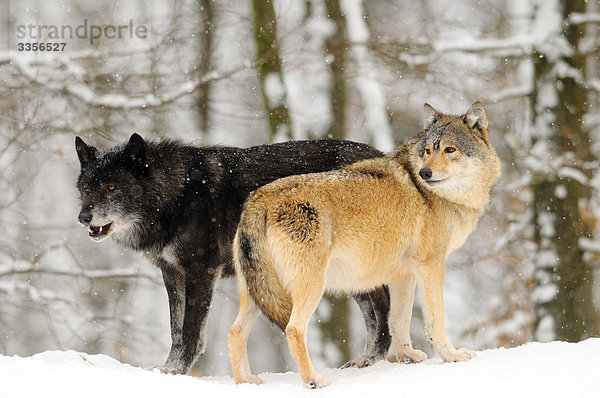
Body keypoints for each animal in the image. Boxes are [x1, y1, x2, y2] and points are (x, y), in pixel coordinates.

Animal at [75, 135, 392, 374]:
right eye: (87, 188)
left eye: (112, 187)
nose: (82, 217)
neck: (177, 195)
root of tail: (383, 156)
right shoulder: (171, 272)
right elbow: (176, 330)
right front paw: (168, 370)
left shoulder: (201, 269)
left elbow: (190, 331)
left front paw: (176, 371)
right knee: (372, 306)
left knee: (382, 301)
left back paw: (373, 358)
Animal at [227, 101, 500, 388]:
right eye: (427, 151)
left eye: (449, 149)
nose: (425, 172)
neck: (436, 195)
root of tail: (258, 200)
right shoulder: (432, 266)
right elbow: (436, 320)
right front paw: (452, 356)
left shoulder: (404, 274)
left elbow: (398, 320)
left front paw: (408, 357)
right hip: (310, 287)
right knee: (293, 329)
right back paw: (314, 380)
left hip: (258, 291)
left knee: (235, 332)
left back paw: (245, 382)